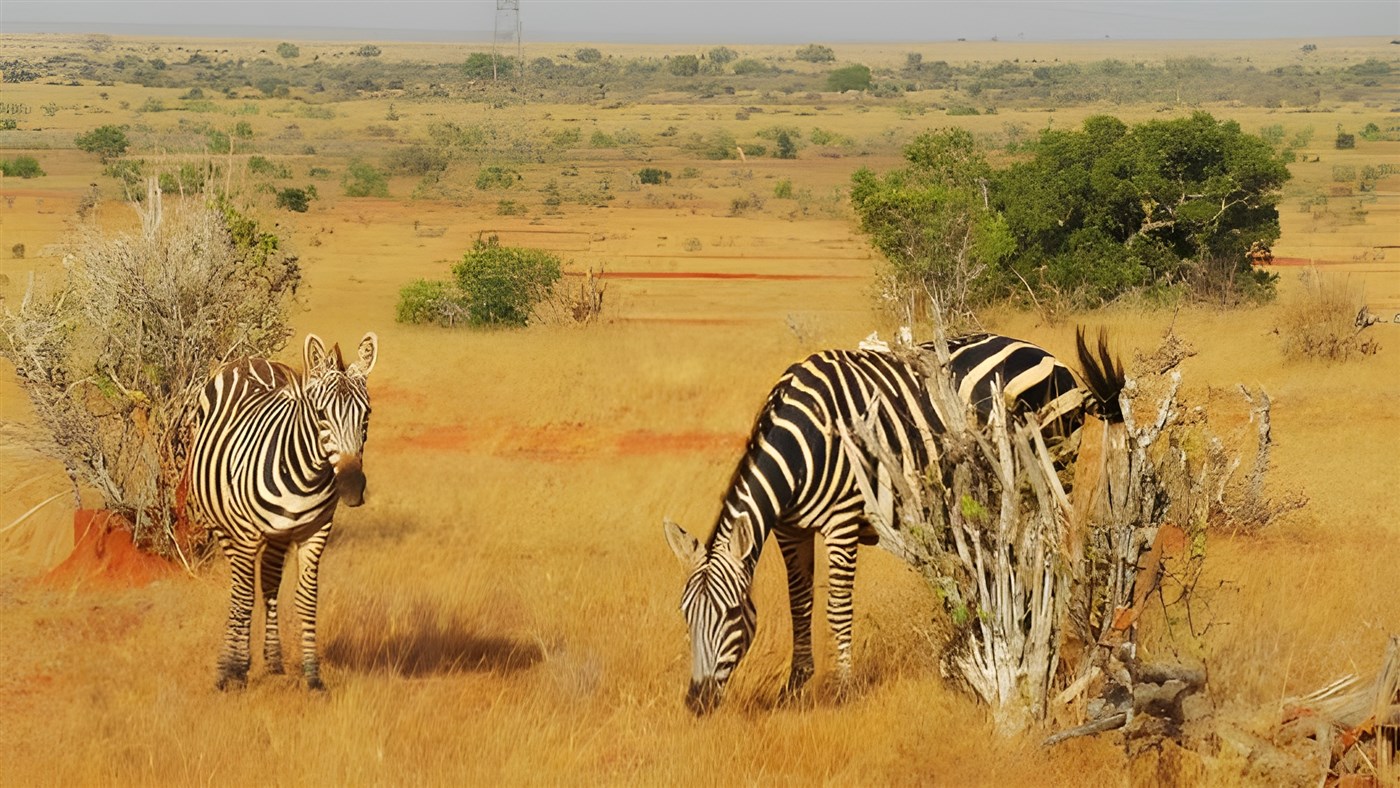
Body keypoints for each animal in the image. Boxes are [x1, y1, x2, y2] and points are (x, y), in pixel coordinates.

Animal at [188, 332, 378, 691]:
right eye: (321, 414)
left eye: (367, 415)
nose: (351, 488)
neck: (306, 474)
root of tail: (248, 359)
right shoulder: (246, 535)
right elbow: (244, 598)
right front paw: (234, 671)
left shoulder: (315, 533)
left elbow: (306, 598)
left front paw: (312, 675)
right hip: (224, 527)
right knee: (239, 590)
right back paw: (230, 663)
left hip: (278, 534)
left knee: (269, 581)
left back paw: (273, 660)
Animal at [663, 329, 1124, 714]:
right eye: (686, 615)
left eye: (732, 614)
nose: (696, 703)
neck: (804, 443)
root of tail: (1047, 355)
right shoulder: (790, 530)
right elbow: (800, 604)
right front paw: (794, 687)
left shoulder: (842, 522)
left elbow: (836, 608)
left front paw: (843, 691)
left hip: (1051, 465)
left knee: (1058, 546)